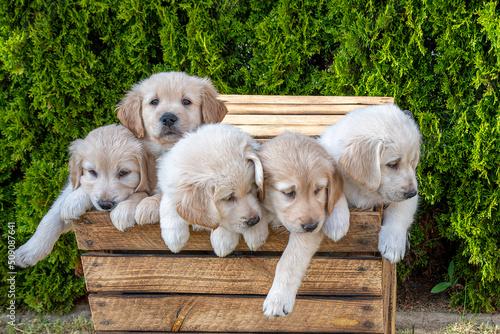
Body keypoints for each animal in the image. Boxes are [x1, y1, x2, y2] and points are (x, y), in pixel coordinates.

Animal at [116, 72, 228, 228]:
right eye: (154, 101)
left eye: (186, 101)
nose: (168, 118)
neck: (169, 148)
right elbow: (140, 192)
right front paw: (125, 207)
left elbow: (165, 193)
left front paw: (148, 205)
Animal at [160, 124, 270, 258]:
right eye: (229, 198)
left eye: (252, 188)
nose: (255, 220)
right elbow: (168, 201)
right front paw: (174, 236)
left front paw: (253, 233)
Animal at [258, 131, 344, 318]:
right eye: (289, 193)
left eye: (318, 189)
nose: (311, 226)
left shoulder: (308, 233)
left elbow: (289, 260)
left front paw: (278, 298)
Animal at [318, 103, 420, 264]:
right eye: (393, 164)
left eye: (412, 162)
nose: (412, 193)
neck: (363, 188)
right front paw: (336, 222)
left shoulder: (410, 196)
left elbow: (400, 210)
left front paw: (393, 244)